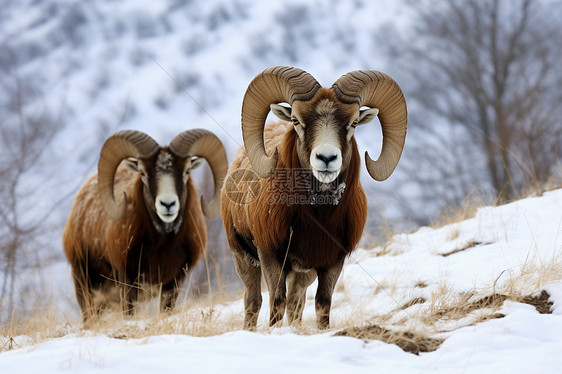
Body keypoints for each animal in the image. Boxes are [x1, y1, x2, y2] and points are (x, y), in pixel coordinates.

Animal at [61, 129, 225, 322]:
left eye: (186, 171)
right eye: (143, 173)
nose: (167, 204)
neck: (163, 246)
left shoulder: (174, 282)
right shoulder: (127, 280)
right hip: (85, 286)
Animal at [220, 65, 406, 328]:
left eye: (354, 123)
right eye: (296, 121)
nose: (326, 158)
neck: (318, 218)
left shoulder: (331, 263)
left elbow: (322, 304)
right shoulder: (270, 256)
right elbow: (276, 302)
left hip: (302, 274)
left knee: (295, 305)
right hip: (244, 260)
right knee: (253, 302)